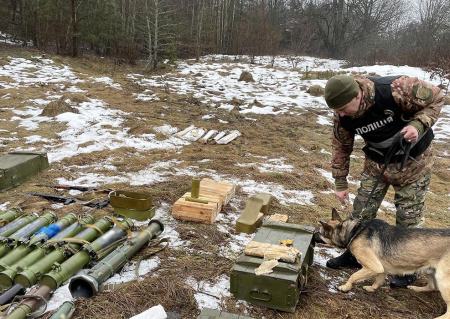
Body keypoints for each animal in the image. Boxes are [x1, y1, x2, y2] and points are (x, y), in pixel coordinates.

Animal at [314, 210, 450, 319]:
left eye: (319, 232)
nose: (313, 234)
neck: (354, 231)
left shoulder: (374, 266)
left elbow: (353, 276)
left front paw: (345, 287)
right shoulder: (381, 268)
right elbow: (378, 279)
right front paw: (372, 288)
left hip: (443, 280)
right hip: (430, 271)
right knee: (432, 287)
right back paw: (415, 288)